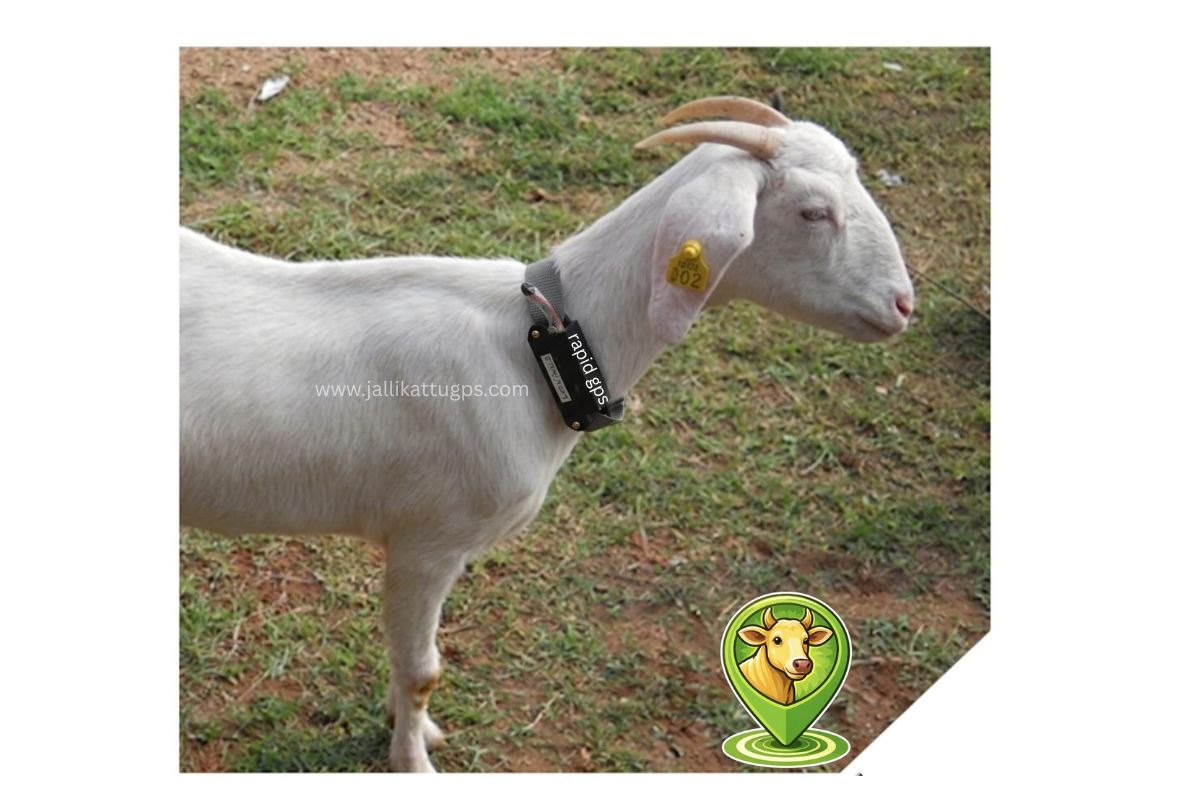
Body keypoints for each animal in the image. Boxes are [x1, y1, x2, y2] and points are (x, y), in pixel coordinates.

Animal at [179, 96, 915, 772]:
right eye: (813, 212)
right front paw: (413, 761)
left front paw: (406, 727)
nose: (903, 305)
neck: (541, 352)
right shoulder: (428, 541)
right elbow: (423, 670)